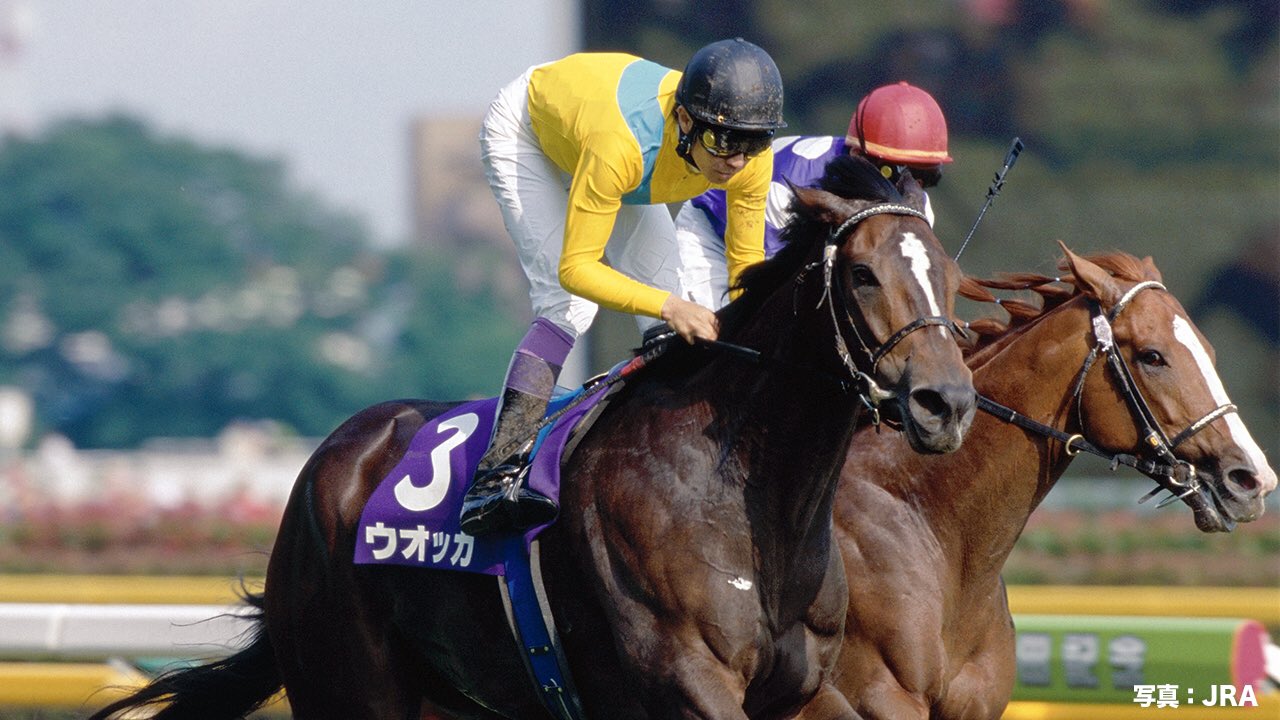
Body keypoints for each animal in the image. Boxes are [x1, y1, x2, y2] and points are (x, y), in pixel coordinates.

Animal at [89, 154, 976, 720]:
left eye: (949, 275)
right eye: (861, 274)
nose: (948, 402)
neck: (747, 499)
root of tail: (332, 457)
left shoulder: (801, 690)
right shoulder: (687, 680)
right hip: (350, 685)